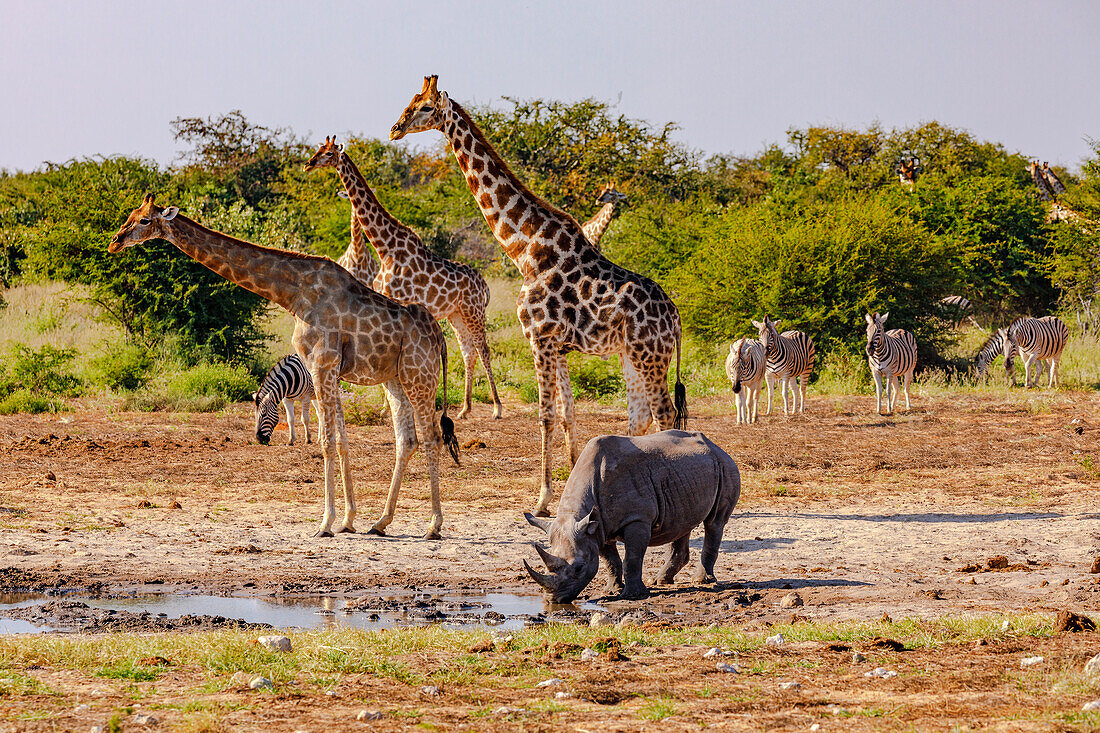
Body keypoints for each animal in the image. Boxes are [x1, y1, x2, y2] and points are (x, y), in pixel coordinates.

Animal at [108, 193, 459, 537]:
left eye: (144, 220)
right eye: (129, 214)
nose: (114, 241)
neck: (294, 295)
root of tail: (440, 338)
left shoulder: (322, 364)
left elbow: (326, 441)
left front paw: (325, 524)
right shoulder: (329, 370)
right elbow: (342, 441)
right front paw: (348, 520)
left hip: (420, 375)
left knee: (431, 437)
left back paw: (433, 525)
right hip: (395, 379)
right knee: (407, 440)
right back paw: (381, 522)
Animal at [305, 135, 503, 416]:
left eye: (329, 153)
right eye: (318, 149)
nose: (308, 164)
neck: (384, 247)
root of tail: (484, 285)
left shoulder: (397, 301)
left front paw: (390, 408)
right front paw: (387, 408)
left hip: (473, 311)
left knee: (483, 349)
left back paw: (497, 407)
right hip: (456, 314)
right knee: (468, 351)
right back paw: (465, 408)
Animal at [389, 77, 686, 512]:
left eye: (425, 108)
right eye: (410, 102)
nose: (395, 129)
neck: (526, 251)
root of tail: (676, 318)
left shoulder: (539, 339)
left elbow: (545, 415)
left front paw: (543, 499)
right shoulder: (557, 346)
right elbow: (566, 414)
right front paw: (569, 485)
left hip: (650, 356)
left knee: (664, 413)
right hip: (631, 356)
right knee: (641, 416)